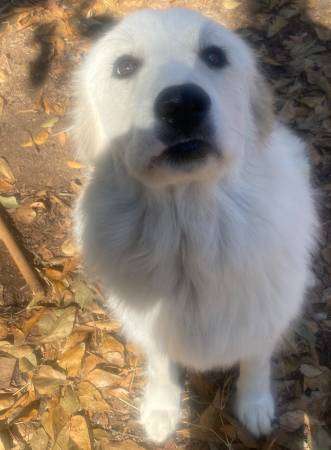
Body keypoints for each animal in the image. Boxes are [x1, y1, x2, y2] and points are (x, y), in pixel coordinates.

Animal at [73, 7, 320, 442]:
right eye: (124, 66)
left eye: (214, 56)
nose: (182, 104)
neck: (189, 235)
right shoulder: (151, 330)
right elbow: (161, 366)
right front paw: (161, 409)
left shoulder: (262, 321)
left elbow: (255, 364)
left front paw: (255, 406)